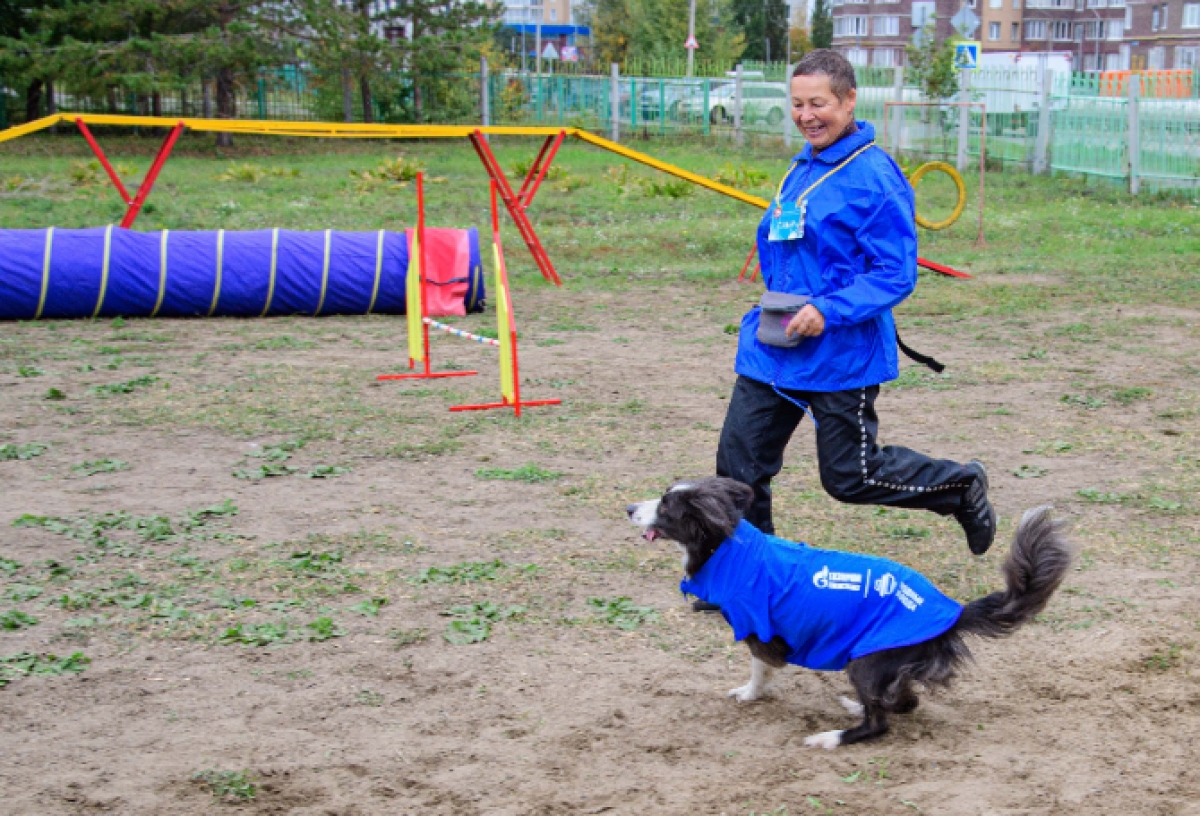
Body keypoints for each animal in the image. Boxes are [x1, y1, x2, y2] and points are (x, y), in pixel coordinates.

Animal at [628, 477, 1080, 753]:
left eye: (665, 505)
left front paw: (750, 693)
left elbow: (760, 668)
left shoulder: (758, 628)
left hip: (866, 660)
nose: (630, 508)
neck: (727, 549)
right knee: (905, 701)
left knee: (882, 722)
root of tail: (951, 613)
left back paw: (831, 737)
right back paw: (855, 707)